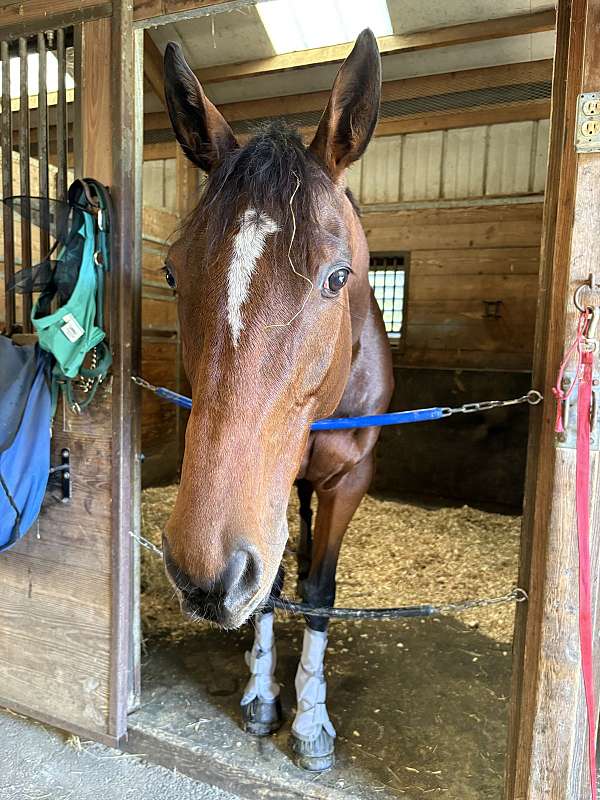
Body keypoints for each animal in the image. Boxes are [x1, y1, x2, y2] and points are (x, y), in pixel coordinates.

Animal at [161, 28, 394, 772]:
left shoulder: (351, 478)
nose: (203, 578)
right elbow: (268, 589)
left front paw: (312, 720)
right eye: (171, 272)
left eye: (338, 277)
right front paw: (264, 697)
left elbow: (318, 593)